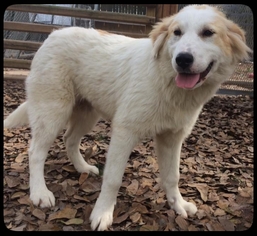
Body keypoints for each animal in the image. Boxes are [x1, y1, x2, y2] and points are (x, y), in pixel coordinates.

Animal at [4, 4, 250, 231]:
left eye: (208, 32)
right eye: (177, 32)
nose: (182, 59)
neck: (166, 80)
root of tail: (52, 35)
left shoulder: (172, 138)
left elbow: (173, 176)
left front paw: (178, 205)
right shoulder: (125, 133)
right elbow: (113, 179)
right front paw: (102, 214)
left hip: (87, 114)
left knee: (69, 139)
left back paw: (83, 168)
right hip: (53, 112)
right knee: (36, 152)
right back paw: (40, 193)